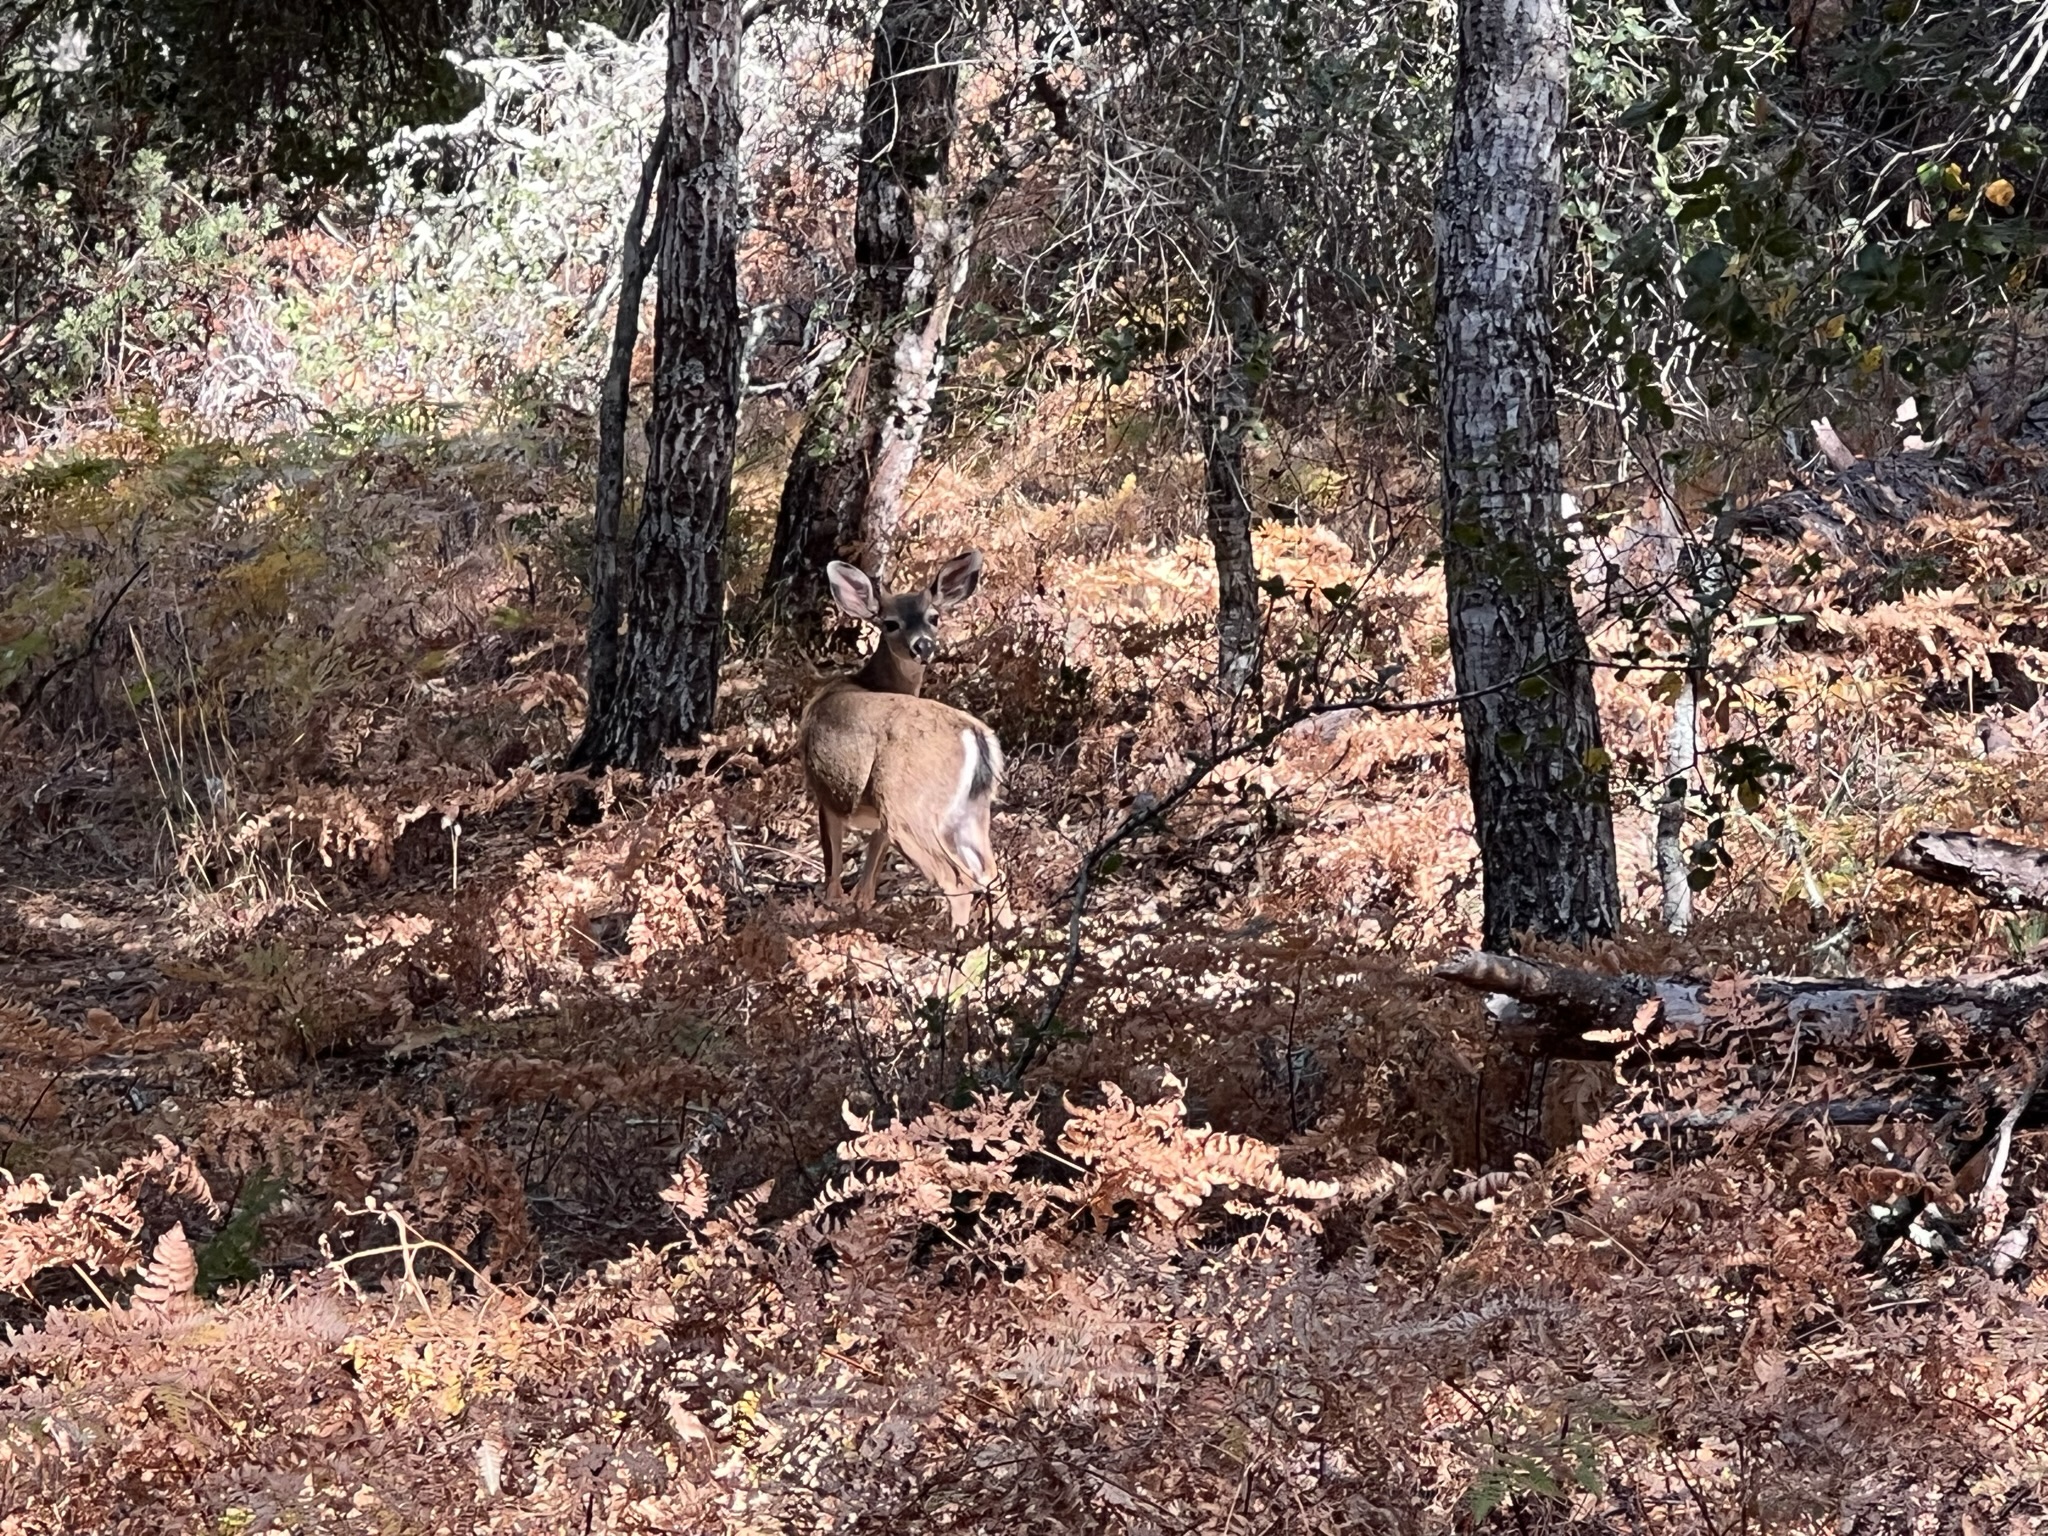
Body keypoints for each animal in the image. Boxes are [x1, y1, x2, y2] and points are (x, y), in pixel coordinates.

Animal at [798, 551, 1013, 930]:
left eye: (934, 617)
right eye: (890, 623)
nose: (923, 645)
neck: (865, 682)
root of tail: (974, 735)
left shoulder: (826, 794)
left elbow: (834, 867)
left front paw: (833, 908)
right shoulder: (874, 815)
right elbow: (868, 877)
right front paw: (861, 907)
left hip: (908, 806)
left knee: (957, 880)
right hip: (970, 811)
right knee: (992, 872)